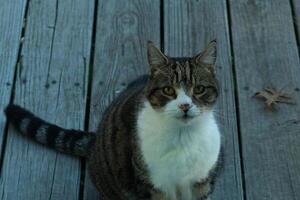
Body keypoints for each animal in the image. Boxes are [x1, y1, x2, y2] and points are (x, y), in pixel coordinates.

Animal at [5, 40, 223, 200]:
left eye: (199, 89)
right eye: (168, 90)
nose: (185, 106)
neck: (182, 135)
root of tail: (94, 141)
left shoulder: (202, 182)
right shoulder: (152, 186)